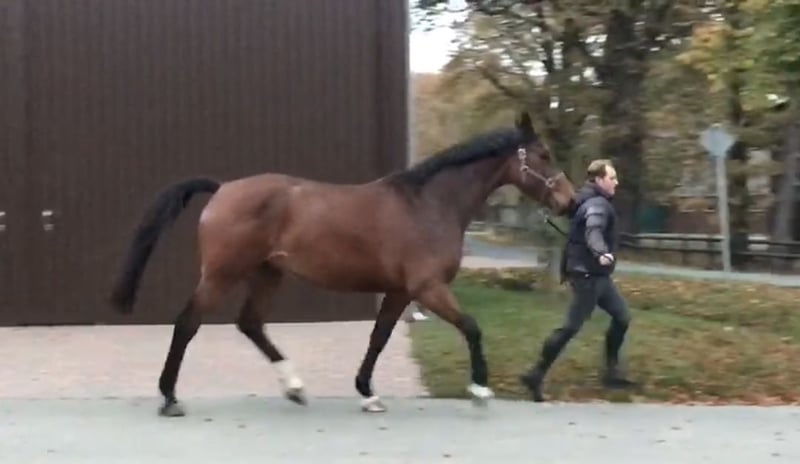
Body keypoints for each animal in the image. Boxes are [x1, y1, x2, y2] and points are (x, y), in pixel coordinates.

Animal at [109, 110, 576, 417]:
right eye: (543, 155)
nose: (569, 202)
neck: (428, 204)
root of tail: (223, 188)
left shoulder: (400, 292)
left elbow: (379, 338)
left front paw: (368, 393)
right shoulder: (426, 288)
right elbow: (472, 327)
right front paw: (479, 389)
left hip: (267, 273)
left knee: (251, 324)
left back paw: (295, 388)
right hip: (223, 274)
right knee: (188, 322)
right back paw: (170, 398)